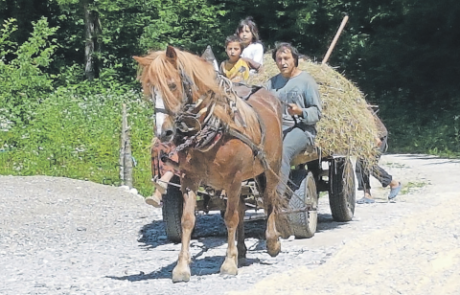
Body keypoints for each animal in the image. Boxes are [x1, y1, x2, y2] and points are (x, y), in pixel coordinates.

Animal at [133, 45, 286, 282]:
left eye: (172, 85)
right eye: (150, 90)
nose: (163, 133)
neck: (214, 127)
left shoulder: (234, 179)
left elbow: (230, 218)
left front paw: (229, 264)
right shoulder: (189, 179)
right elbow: (188, 220)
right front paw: (181, 268)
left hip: (270, 168)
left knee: (270, 201)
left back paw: (272, 242)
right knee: (243, 207)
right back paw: (242, 250)